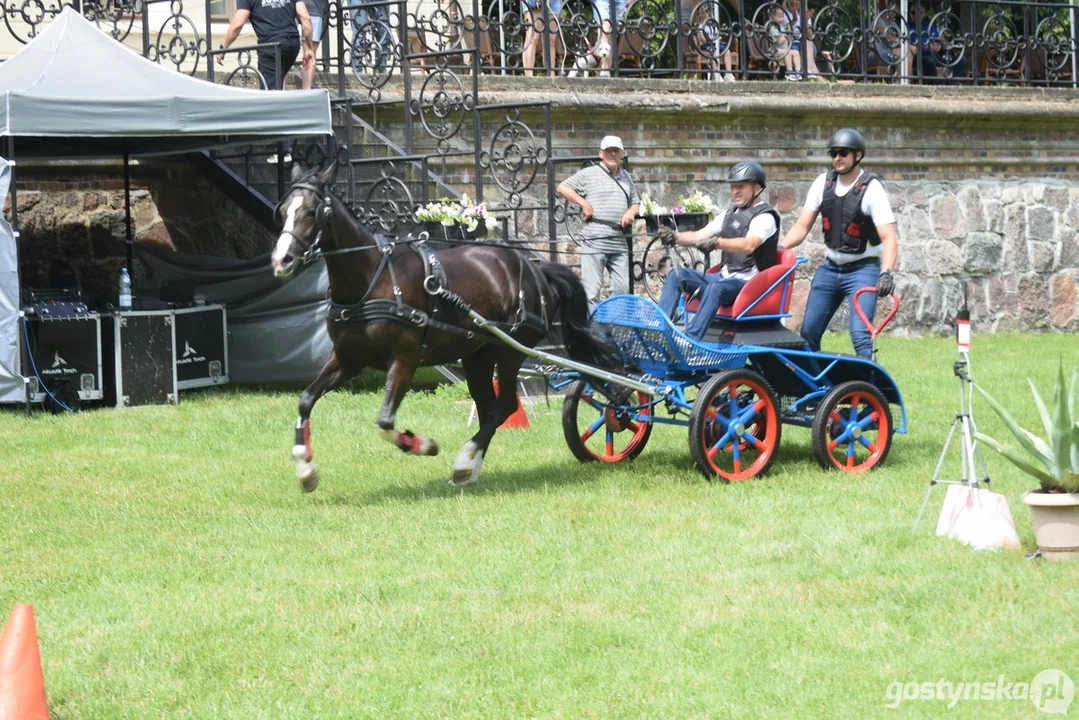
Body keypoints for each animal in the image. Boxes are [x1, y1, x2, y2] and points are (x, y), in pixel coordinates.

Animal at [271, 161, 625, 490]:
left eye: (312, 211)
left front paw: (424, 445)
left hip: (510, 350)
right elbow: (306, 399)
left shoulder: (404, 360)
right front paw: (305, 467)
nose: (281, 260)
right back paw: (470, 468)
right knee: (489, 408)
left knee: (505, 405)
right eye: (283, 210)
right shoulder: (348, 358)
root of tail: (538, 271)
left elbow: (385, 422)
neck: (373, 277)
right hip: (477, 355)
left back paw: (464, 460)